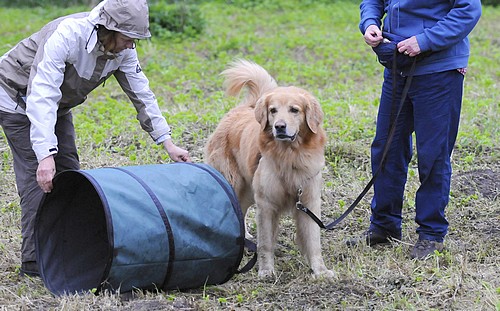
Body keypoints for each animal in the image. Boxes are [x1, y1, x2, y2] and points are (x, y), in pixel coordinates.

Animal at [205, 59, 334, 280]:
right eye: (273, 110)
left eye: (294, 110)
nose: (279, 127)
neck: (290, 157)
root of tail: (243, 107)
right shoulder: (266, 204)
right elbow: (265, 243)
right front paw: (266, 270)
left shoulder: (308, 201)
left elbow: (313, 241)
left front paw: (320, 271)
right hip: (234, 182)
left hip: (248, 190)